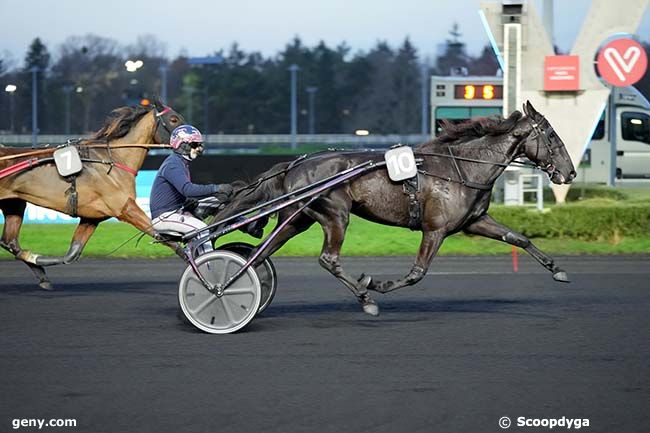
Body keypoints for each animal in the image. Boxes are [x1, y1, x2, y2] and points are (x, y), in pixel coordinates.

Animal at [0, 101, 185, 288]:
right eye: (174, 119)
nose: (192, 144)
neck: (113, 159)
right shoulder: (126, 208)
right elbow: (165, 237)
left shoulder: (91, 217)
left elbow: (72, 253)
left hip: (14, 203)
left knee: (10, 242)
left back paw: (39, 271)